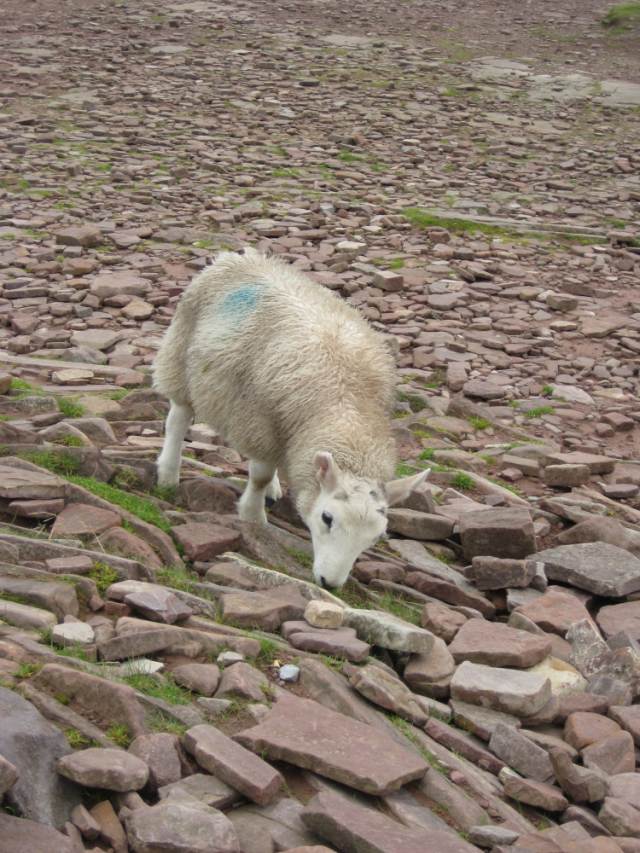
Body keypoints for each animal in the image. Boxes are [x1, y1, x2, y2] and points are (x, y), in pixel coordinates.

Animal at [152, 248, 428, 584]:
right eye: (327, 518)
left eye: (376, 537)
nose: (330, 584)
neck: (345, 407)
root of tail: (239, 256)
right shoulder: (261, 421)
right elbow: (258, 476)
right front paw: (253, 517)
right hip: (181, 354)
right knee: (178, 419)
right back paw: (168, 473)